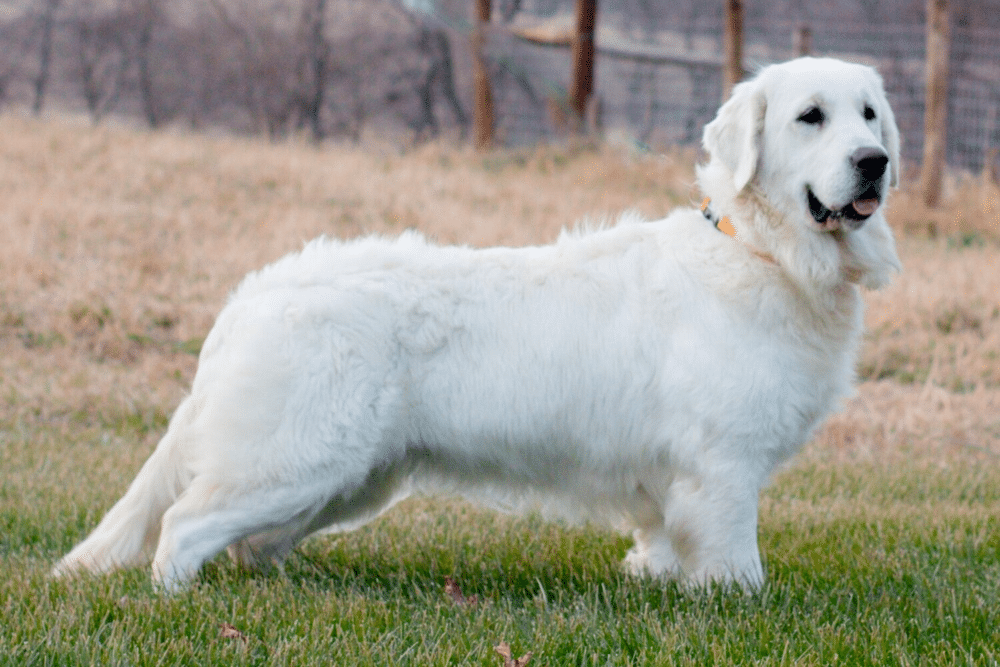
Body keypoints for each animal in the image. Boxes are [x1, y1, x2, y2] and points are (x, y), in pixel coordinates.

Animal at [52, 56, 900, 588]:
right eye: (810, 117)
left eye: (869, 115)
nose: (874, 161)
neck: (761, 250)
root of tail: (254, 294)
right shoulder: (722, 466)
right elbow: (738, 564)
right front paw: (738, 601)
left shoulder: (674, 475)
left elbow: (661, 539)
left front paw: (658, 578)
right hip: (299, 459)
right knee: (183, 525)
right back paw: (178, 595)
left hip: (341, 480)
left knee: (247, 542)